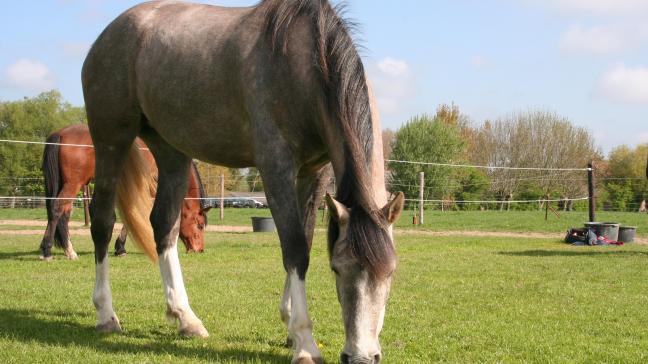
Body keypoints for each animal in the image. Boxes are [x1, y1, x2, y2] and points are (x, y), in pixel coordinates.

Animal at [41, 123, 208, 260]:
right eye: (200, 225)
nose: (199, 250)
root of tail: (61, 133)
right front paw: (121, 247)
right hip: (73, 184)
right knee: (57, 209)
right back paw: (51, 251)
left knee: (63, 212)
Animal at [83, 1, 402, 362]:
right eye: (337, 268)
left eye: (390, 272)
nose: (361, 356)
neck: (303, 64)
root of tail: (108, 35)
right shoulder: (275, 167)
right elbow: (294, 249)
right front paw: (305, 341)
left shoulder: (314, 172)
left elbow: (304, 241)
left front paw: (289, 327)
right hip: (112, 141)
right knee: (102, 222)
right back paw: (106, 314)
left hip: (171, 151)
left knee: (163, 226)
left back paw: (186, 318)